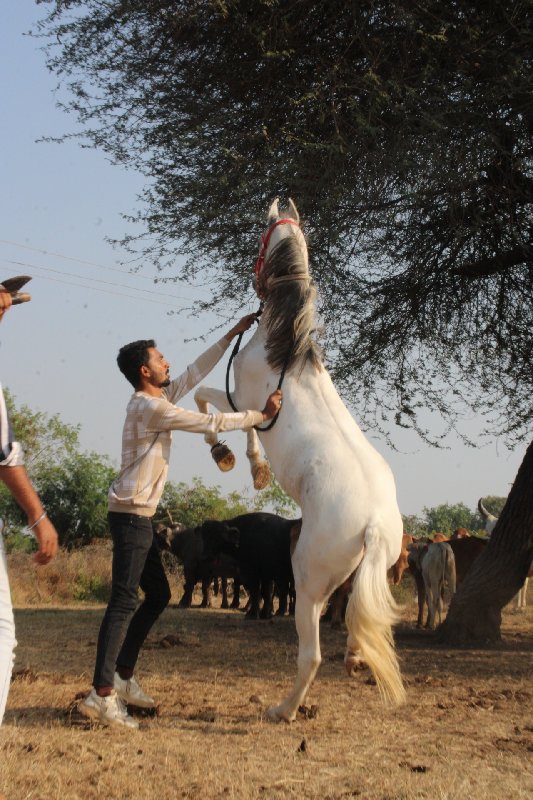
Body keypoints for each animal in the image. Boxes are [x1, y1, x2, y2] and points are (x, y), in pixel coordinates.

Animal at [193, 198, 406, 720]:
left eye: (263, 236)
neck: (284, 347)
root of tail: (374, 523)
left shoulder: (238, 399)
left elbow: (208, 401)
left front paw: (237, 460)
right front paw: (251, 466)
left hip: (308, 583)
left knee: (310, 655)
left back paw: (284, 710)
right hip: (358, 577)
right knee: (358, 625)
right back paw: (354, 661)